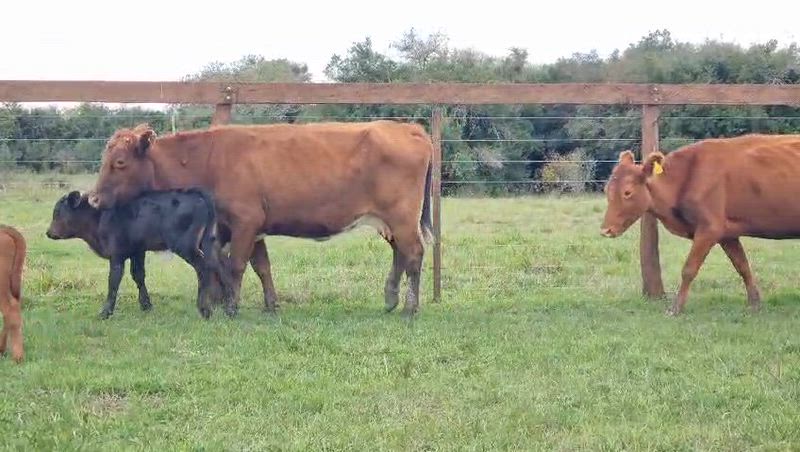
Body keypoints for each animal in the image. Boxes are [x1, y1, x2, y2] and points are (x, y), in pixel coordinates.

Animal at [46, 189, 235, 319]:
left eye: (57, 212)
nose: (48, 233)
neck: (99, 219)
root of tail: (196, 193)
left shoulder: (116, 254)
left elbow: (113, 282)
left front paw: (105, 312)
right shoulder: (137, 251)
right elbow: (138, 275)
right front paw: (146, 305)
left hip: (186, 246)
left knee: (204, 270)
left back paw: (204, 309)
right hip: (208, 243)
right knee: (221, 268)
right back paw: (231, 309)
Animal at [87, 121, 433, 317]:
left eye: (119, 162)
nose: (93, 198)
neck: (207, 159)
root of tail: (407, 127)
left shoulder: (244, 222)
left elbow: (236, 266)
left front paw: (231, 306)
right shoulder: (253, 229)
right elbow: (262, 267)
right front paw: (270, 304)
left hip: (402, 217)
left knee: (414, 254)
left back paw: (410, 307)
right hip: (390, 221)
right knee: (400, 254)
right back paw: (390, 299)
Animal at [601, 133, 800, 315]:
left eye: (627, 192)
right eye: (606, 189)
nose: (605, 230)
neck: (688, 175)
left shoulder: (709, 229)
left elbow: (689, 269)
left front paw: (676, 308)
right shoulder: (727, 234)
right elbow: (742, 266)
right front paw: (754, 303)